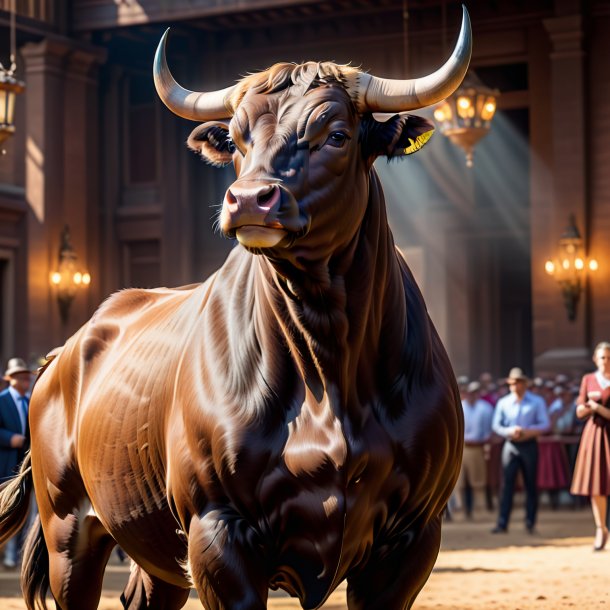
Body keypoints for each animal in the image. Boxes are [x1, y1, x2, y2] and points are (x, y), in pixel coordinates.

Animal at [0, 7, 470, 604]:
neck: (328, 371)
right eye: (239, 139)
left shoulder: (410, 539)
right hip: (68, 528)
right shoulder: (218, 531)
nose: (249, 200)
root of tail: (64, 354)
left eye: (336, 134)